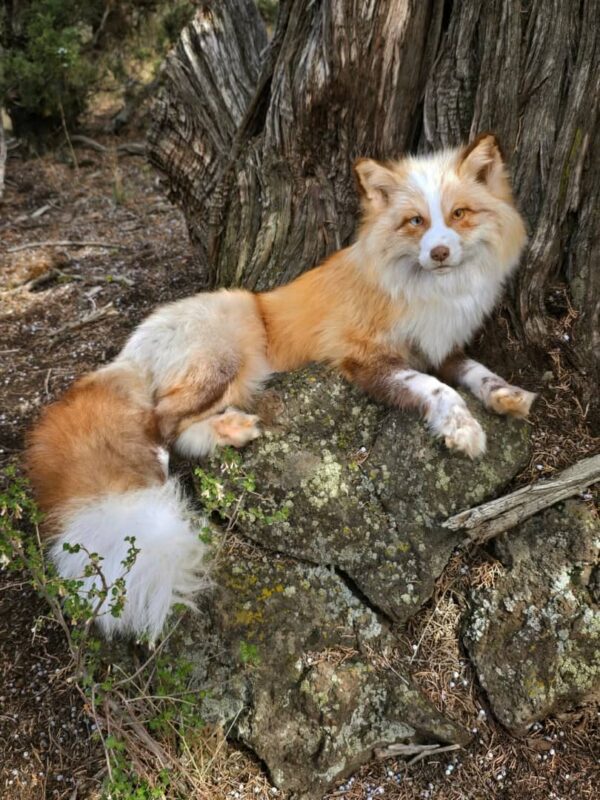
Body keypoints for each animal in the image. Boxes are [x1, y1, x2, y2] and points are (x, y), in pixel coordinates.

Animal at [26, 133, 536, 640]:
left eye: (459, 214)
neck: (428, 294)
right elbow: (437, 389)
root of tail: (131, 349)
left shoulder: (441, 348)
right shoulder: (362, 358)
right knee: (161, 422)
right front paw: (462, 428)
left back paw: (230, 431)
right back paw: (164, 467)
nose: (439, 253)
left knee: (184, 428)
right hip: (226, 356)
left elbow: (476, 372)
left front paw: (505, 395)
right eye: (416, 222)